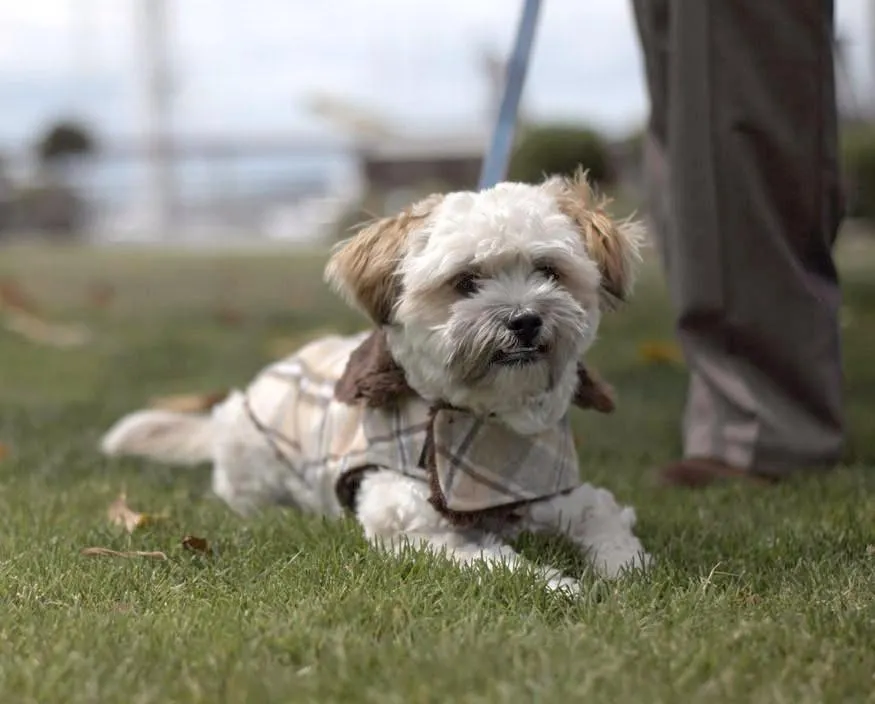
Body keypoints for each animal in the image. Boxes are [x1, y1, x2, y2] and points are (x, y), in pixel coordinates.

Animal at [101, 173, 652, 592]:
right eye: (466, 281)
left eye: (548, 271)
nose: (525, 319)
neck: (486, 423)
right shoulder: (417, 530)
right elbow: (496, 562)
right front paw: (558, 585)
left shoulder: (560, 494)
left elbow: (607, 524)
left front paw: (624, 571)